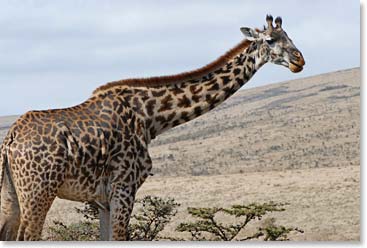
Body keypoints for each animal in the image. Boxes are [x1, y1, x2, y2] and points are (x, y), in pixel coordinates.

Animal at [0, 15, 304, 240]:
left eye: (290, 37)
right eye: (270, 39)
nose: (299, 60)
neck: (151, 118)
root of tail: (10, 139)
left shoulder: (102, 199)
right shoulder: (124, 188)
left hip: (11, 195)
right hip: (39, 192)